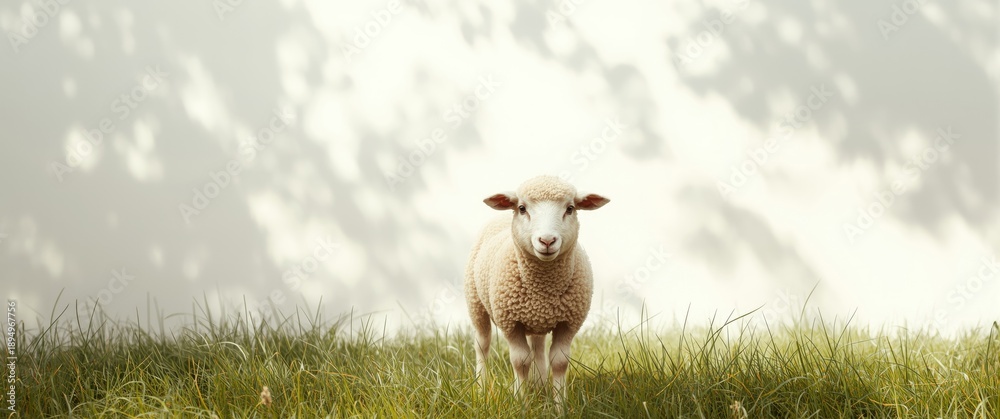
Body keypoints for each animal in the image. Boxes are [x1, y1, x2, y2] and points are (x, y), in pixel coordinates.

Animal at [464, 175, 609, 410]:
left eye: (570, 208)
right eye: (522, 208)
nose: (547, 241)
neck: (543, 290)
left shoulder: (568, 323)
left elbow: (559, 362)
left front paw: (560, 407)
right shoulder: (510, 323)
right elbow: (520, 361)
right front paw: (522, 404)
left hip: (536, 320)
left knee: (538, 348)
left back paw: (540, 388)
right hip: (475, 303)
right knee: (482, 345)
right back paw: (481, 387)